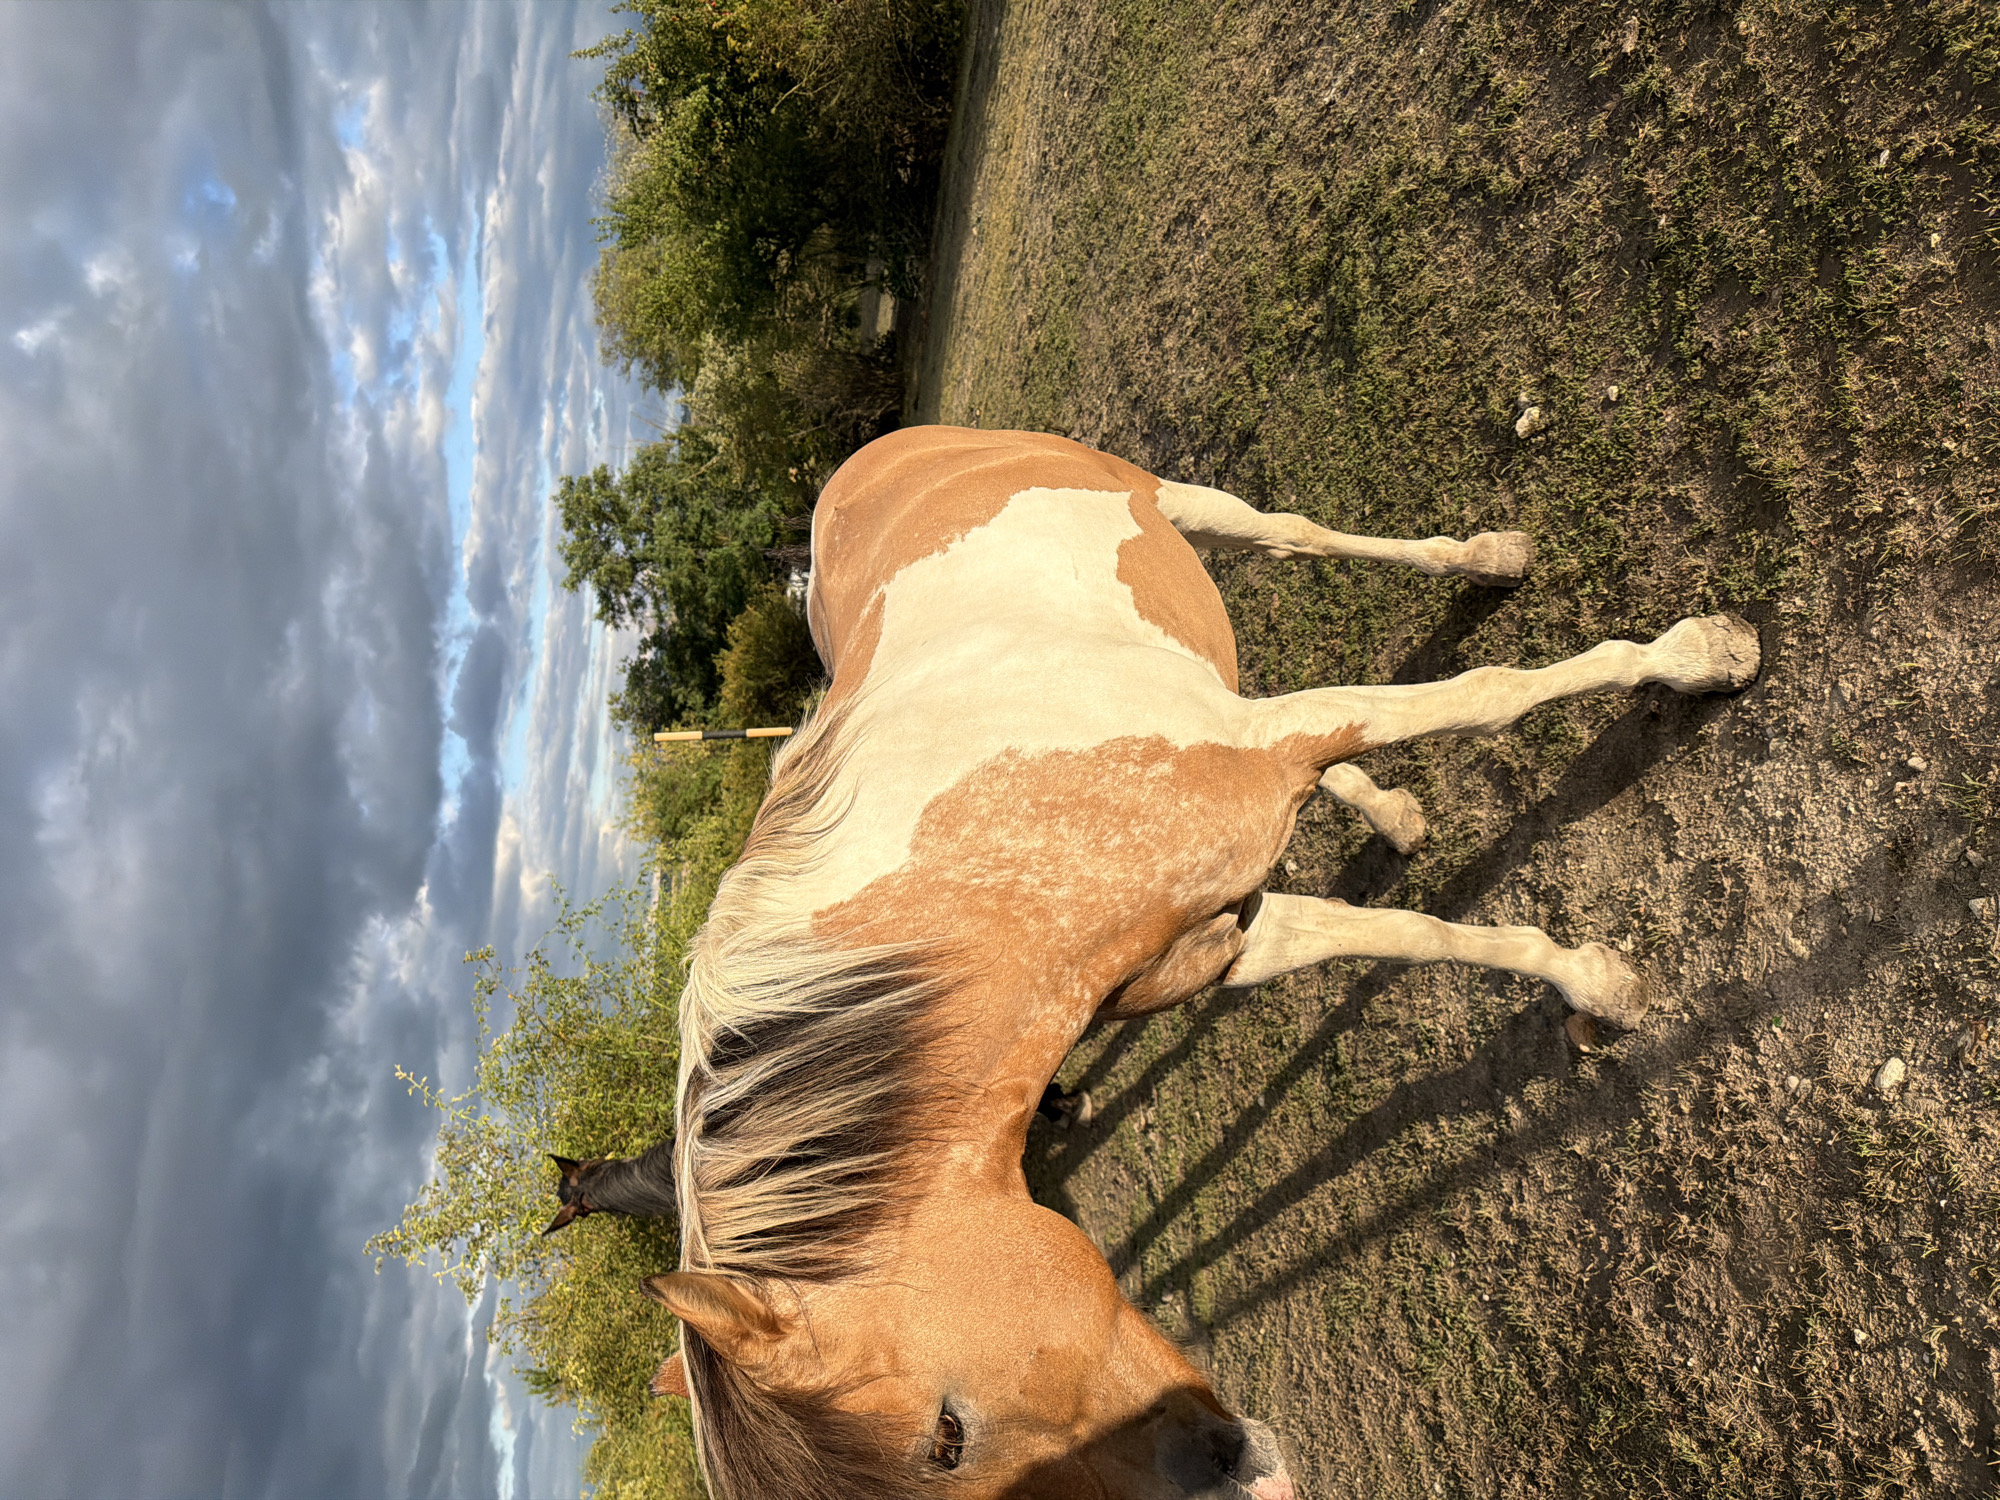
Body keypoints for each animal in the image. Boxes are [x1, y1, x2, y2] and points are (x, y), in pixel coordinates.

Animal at [573, 425, 1759, 1499]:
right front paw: (1590, 980)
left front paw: (1697, 657)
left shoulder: (1277, 741)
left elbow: (1490, 692)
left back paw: (1490, 561)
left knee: (1293, 535)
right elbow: (1410, 934)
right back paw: (1394, 812)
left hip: (1176, 503)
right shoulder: (1225, 933)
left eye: (947, 1436)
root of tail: (855, 468)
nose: (1239, 1472)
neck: (985, 874)